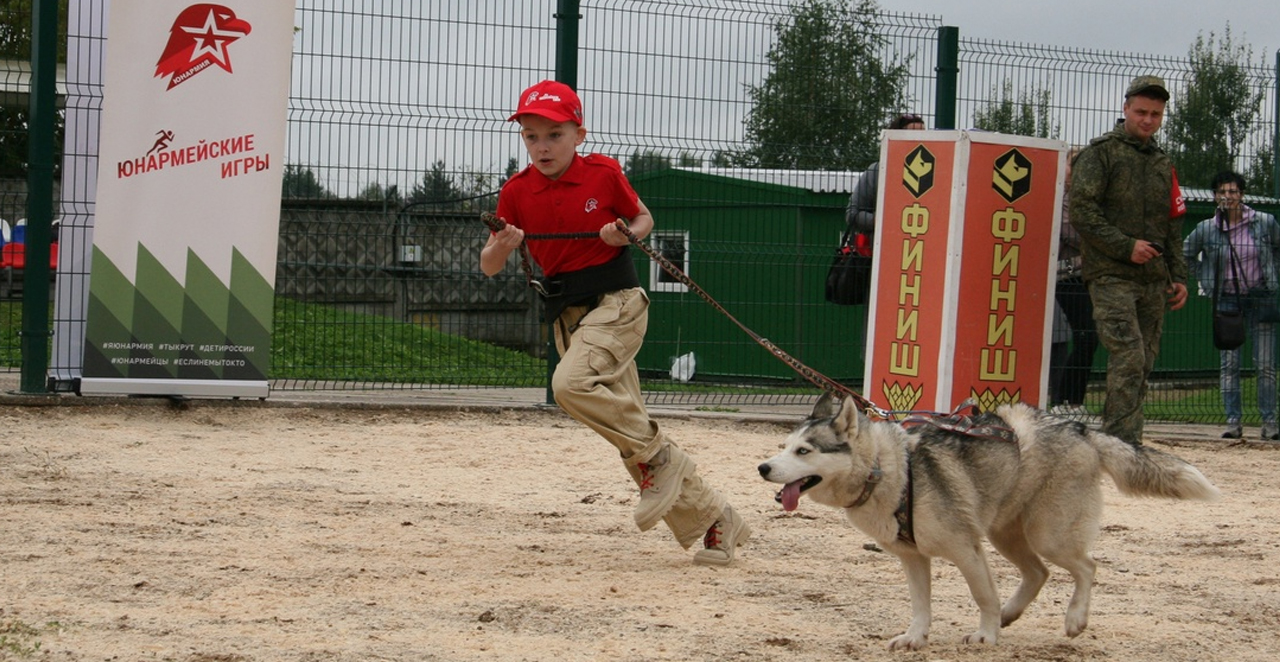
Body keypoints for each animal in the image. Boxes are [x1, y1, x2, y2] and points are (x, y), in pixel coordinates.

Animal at [757, 394, 1218, 647]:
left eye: (804, 451)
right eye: (784, 446)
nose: (763, 468)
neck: (889, 469)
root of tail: (1080, 429)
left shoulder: (966, 549)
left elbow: (983, 597)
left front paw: (987, 636)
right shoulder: (913, 558)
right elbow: (921, 605)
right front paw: (916, 638)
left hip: (1047, 534)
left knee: (1087, 566)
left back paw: (1074, 619)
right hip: (1005, 534)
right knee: (1038, 573)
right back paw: (1013, 614)